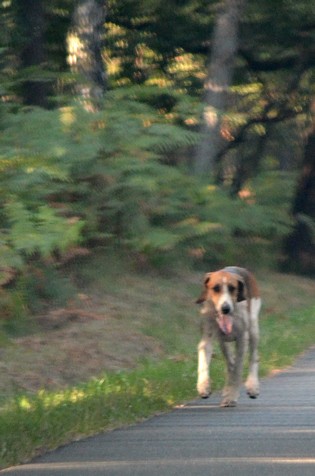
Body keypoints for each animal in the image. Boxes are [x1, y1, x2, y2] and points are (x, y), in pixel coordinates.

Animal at [198, 266, 262, 408]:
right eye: (216, 288)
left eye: (232, 288)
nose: (225, 308)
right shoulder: (207, 339)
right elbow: (203, 361)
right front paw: (204, 386)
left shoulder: (242, 339)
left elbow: (238, 370)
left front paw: (231, 397)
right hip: (223, 342)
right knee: (230, 363)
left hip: (253, 329)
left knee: (253, 357)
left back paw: (252, 385)